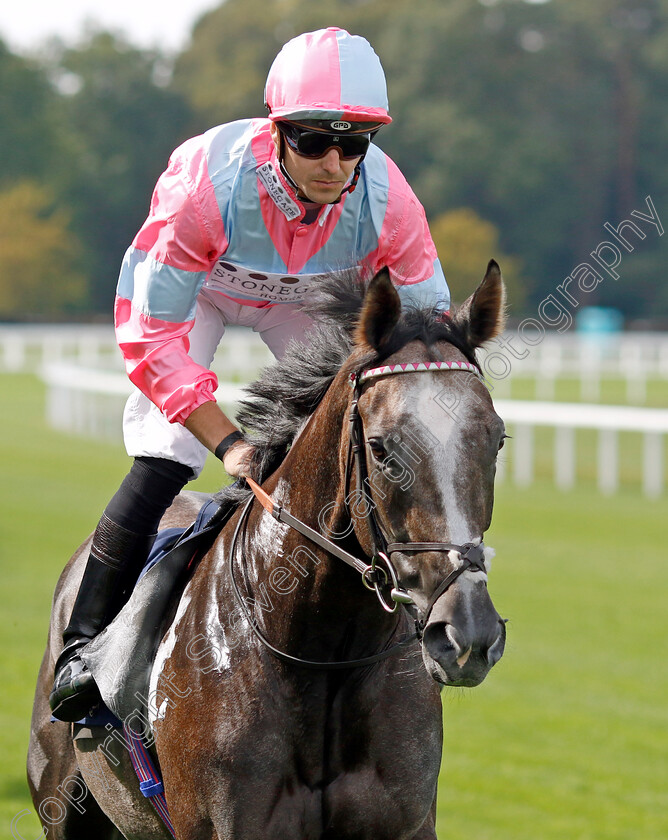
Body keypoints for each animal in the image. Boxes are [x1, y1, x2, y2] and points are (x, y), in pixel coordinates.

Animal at [26, 262, 506, 840]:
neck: (323, 651)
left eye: (497, 440)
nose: (468, 633)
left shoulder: (405, 822)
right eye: (382, 448)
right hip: (64, 802)